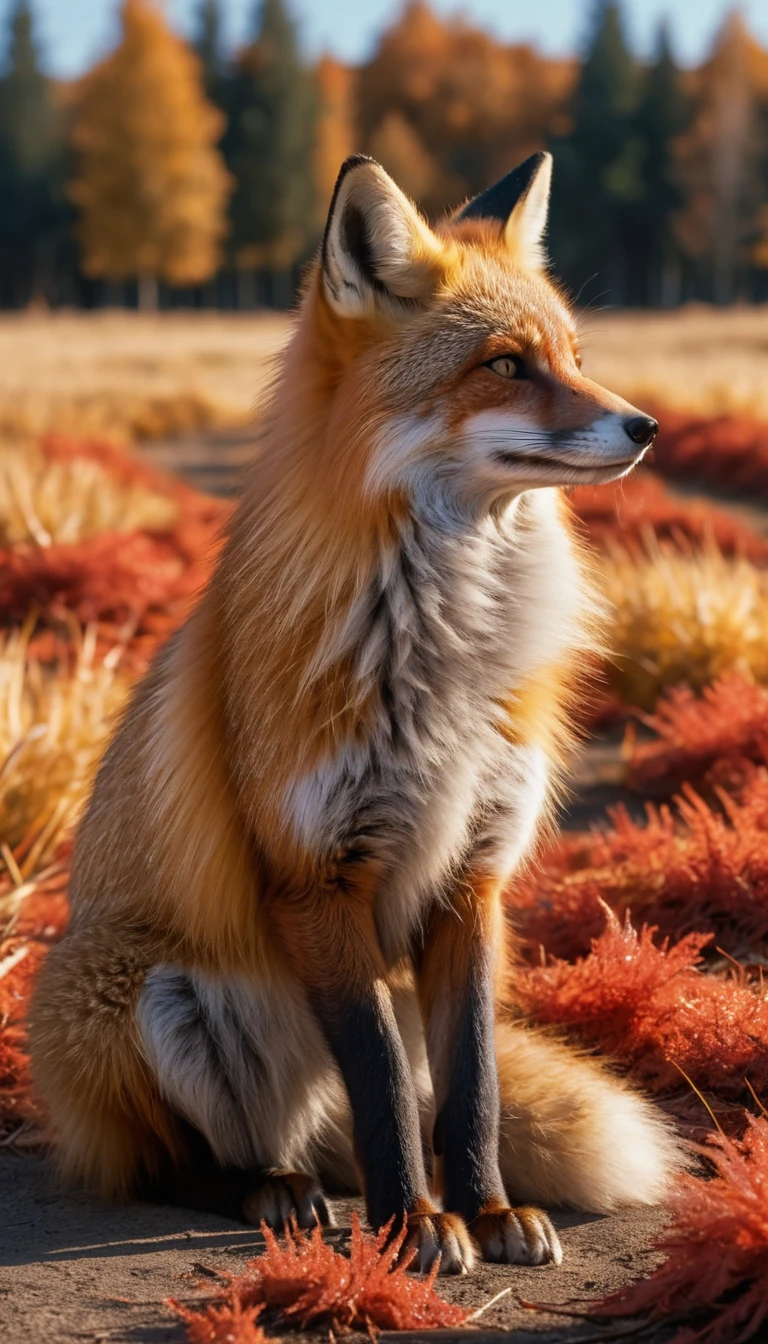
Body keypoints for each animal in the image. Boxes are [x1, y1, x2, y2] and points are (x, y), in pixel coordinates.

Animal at [30, 151, 680, 1275]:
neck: (439, 655)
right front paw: (415, 1225)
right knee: (174, 1162)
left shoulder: (474, 875)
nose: (646, 427)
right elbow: (379, 1079)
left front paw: (487, 1211)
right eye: (505, 366)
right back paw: (273, 1191)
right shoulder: (316, 877)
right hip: (148, 996)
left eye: (573, 357)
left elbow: (471, 1084)